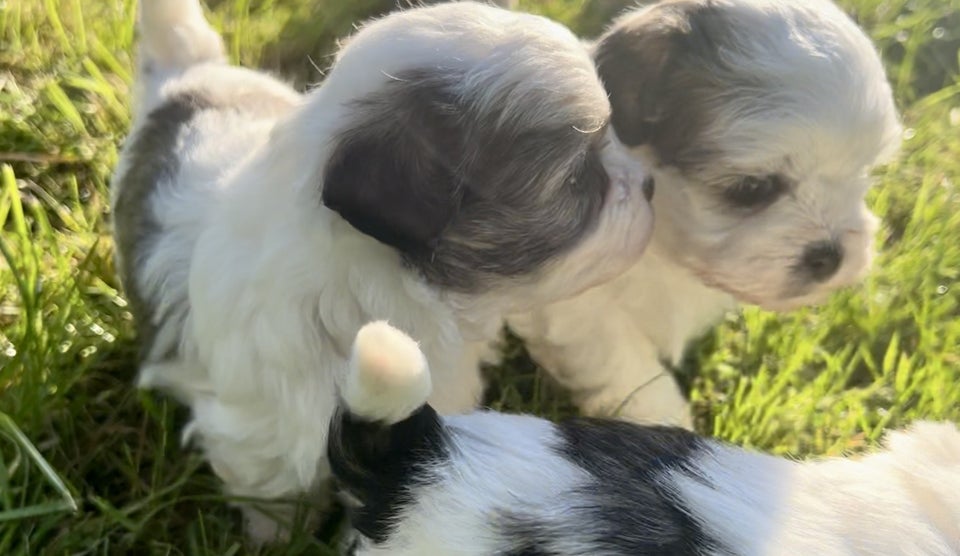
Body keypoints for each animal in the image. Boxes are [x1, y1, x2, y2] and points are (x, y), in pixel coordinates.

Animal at [112, 0, 652, 544]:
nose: (649, 183)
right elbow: (274, 499)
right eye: (577, 180)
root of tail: (188, 76)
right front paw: (273, 542)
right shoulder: (258, 438)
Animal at [506, 0, 904, 428]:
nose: (830, 256)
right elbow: (625, 364)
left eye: (863, 175)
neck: (662, 237)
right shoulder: (576, 306)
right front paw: (663, 421)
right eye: (751, 188)